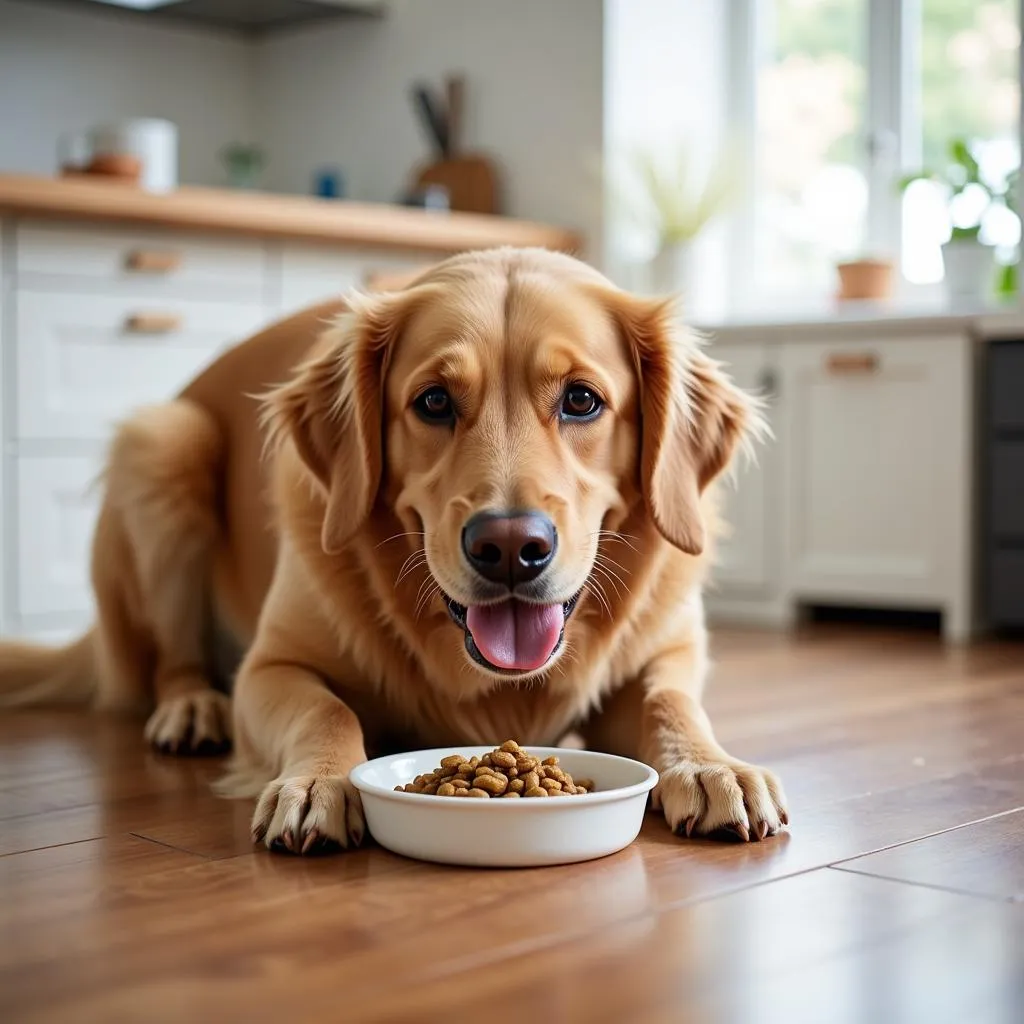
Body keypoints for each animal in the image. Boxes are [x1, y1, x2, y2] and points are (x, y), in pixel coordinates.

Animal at [0, 245, 786, 847]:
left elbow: (670, 705)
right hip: (163, 444)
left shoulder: (667, 652)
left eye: (582, 400)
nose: (509, 547)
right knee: (168, 662)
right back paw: (192, 708)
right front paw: (318, 781)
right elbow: (326, 709)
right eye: (433, 401)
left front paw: (713, 767)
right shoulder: (270, 666)